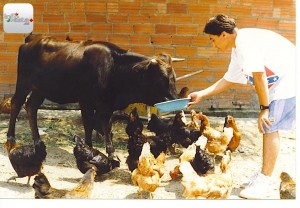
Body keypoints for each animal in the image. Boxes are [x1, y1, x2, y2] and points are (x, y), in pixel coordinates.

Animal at [7, 35, 179, 157]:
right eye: (161, 79)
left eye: (173, 78)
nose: (174, 99)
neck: (113, 69)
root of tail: (32, 39)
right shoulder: (85, 100)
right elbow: (89, 124)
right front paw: (92, 148)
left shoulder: (107, 105)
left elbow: (105, 125)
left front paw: (109, 149)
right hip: (24, 83)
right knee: (16, 104)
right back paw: (11, 138)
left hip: (40, 90)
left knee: (31, 107)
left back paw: (37, 139)